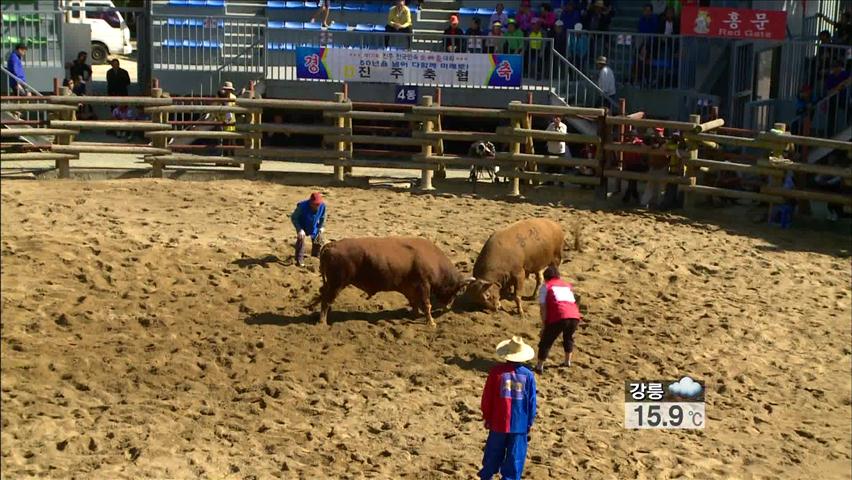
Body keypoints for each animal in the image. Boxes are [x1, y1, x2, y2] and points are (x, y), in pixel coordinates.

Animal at [314, 236, 470, 326]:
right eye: (457, 291)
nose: (448, 307)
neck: (434, 259)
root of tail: (331, 246)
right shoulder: (424, 285)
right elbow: (426, 304)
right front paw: (431, 323)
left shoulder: (411, 287)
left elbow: (415, 302)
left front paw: (415, 315)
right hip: (337, 283)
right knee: (326, 300)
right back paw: (322, 321)